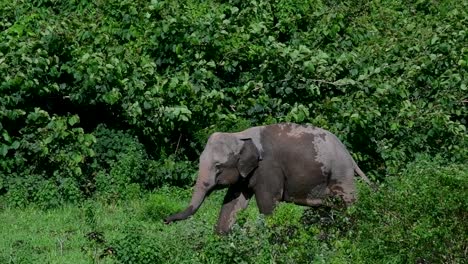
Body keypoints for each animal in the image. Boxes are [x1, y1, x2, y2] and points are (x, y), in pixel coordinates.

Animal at [165, 122, 372, 234]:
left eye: (218, 167)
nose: (165, 219)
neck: (240, 135)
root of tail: (349, 155)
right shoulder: (245, 174)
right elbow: (232, 203)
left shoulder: (267, 169)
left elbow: (268, 203)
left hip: (340, 175)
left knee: (348, 205)